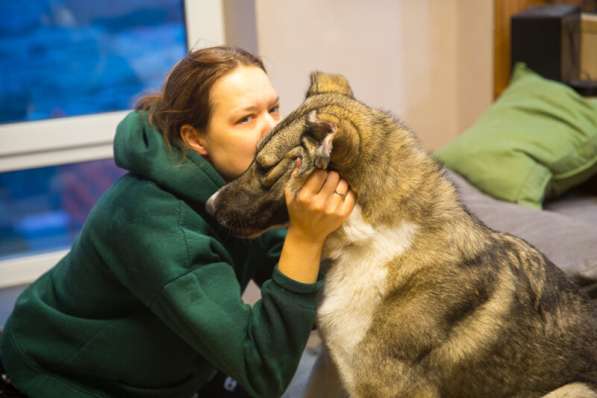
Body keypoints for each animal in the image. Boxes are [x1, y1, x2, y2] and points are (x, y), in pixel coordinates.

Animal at [206, 73, 596, 396]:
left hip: (572, 390)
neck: (370, 240)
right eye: (253, 156)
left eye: (265, 167)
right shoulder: (337, 367)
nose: (209, 207)